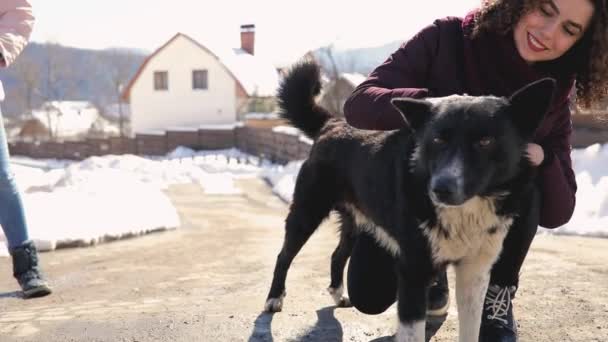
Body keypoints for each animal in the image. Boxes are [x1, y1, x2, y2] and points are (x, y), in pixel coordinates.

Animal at [264, 62, 552, 342]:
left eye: (485, 141)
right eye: (437, 139)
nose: (440, 189)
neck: (465, 212)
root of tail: (333, 125)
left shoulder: (475, 272)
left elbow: (470, 331)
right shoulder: (413, 272)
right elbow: (412, 332)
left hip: (355, 220)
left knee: (337, 254)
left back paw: (338, 293)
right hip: (306, 213)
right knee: (283, 255)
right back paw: (274, 299)